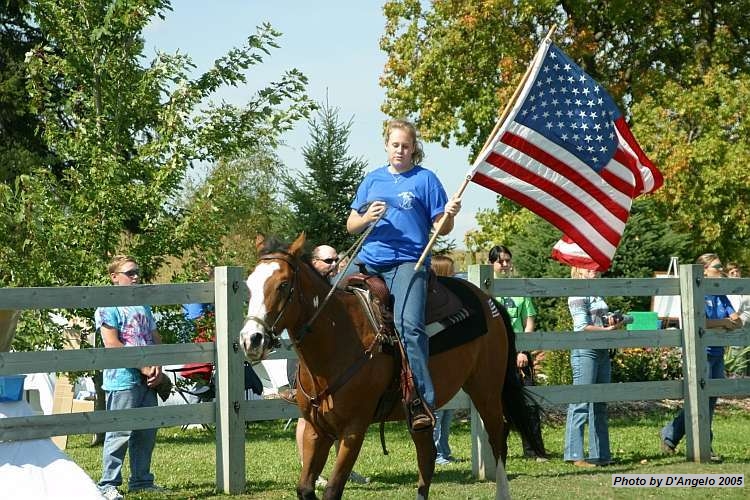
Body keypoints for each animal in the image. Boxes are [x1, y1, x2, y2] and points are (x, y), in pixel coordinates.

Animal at [244, 235, 544, 500]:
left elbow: (332, 490)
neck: (339, 337)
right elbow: (305, 488)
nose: (251, 339)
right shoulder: (317, 429)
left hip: (486, 389)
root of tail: (487, 300)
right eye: (249, 285)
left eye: (283, 284)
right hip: (425, 412)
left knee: (498, 437)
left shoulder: (354, 429)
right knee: (427, 456)